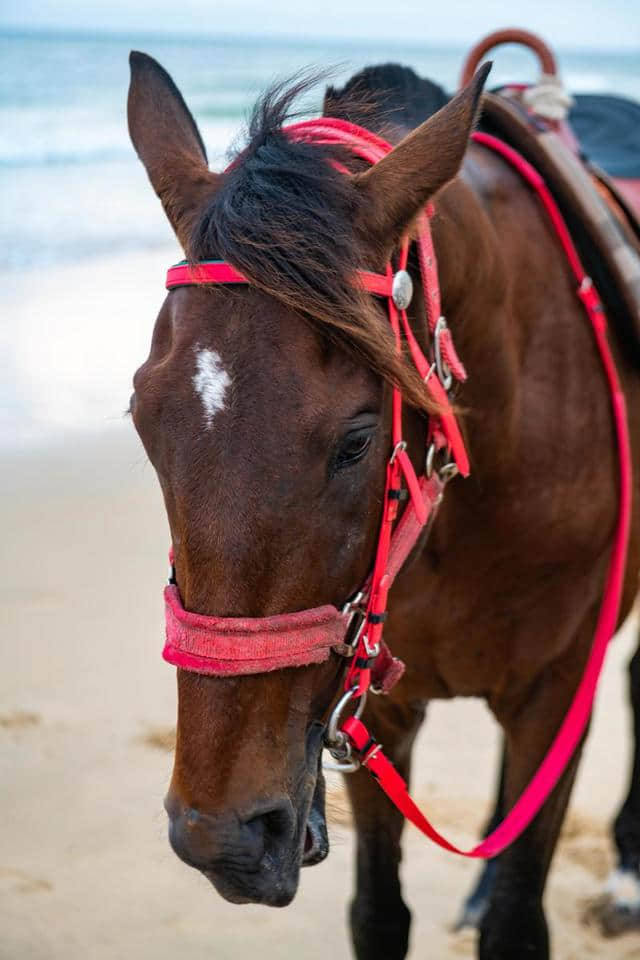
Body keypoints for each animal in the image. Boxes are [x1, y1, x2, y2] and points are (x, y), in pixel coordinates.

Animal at [127, 52, 640, 960]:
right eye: (144, 419)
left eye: (357, 440)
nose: (223, 837)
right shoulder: (373, 702)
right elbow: (377, 914)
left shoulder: (559, 695)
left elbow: (518, 923)